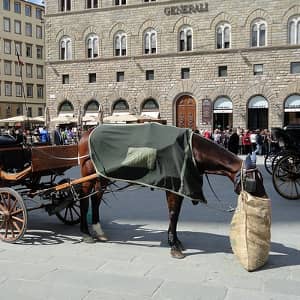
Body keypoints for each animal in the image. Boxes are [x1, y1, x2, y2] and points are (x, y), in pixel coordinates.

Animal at [78, 128, 243, 258]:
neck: (191, 150)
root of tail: (86, 133)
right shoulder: (173, 188)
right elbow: (173, 214)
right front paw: (174, 245)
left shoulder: (179, 188)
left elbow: (176, 214)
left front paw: (175, 241)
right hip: (88, 174)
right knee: (84, 199)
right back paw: (85, 233)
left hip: (101, 177)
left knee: (96, 199)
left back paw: (98, 230)